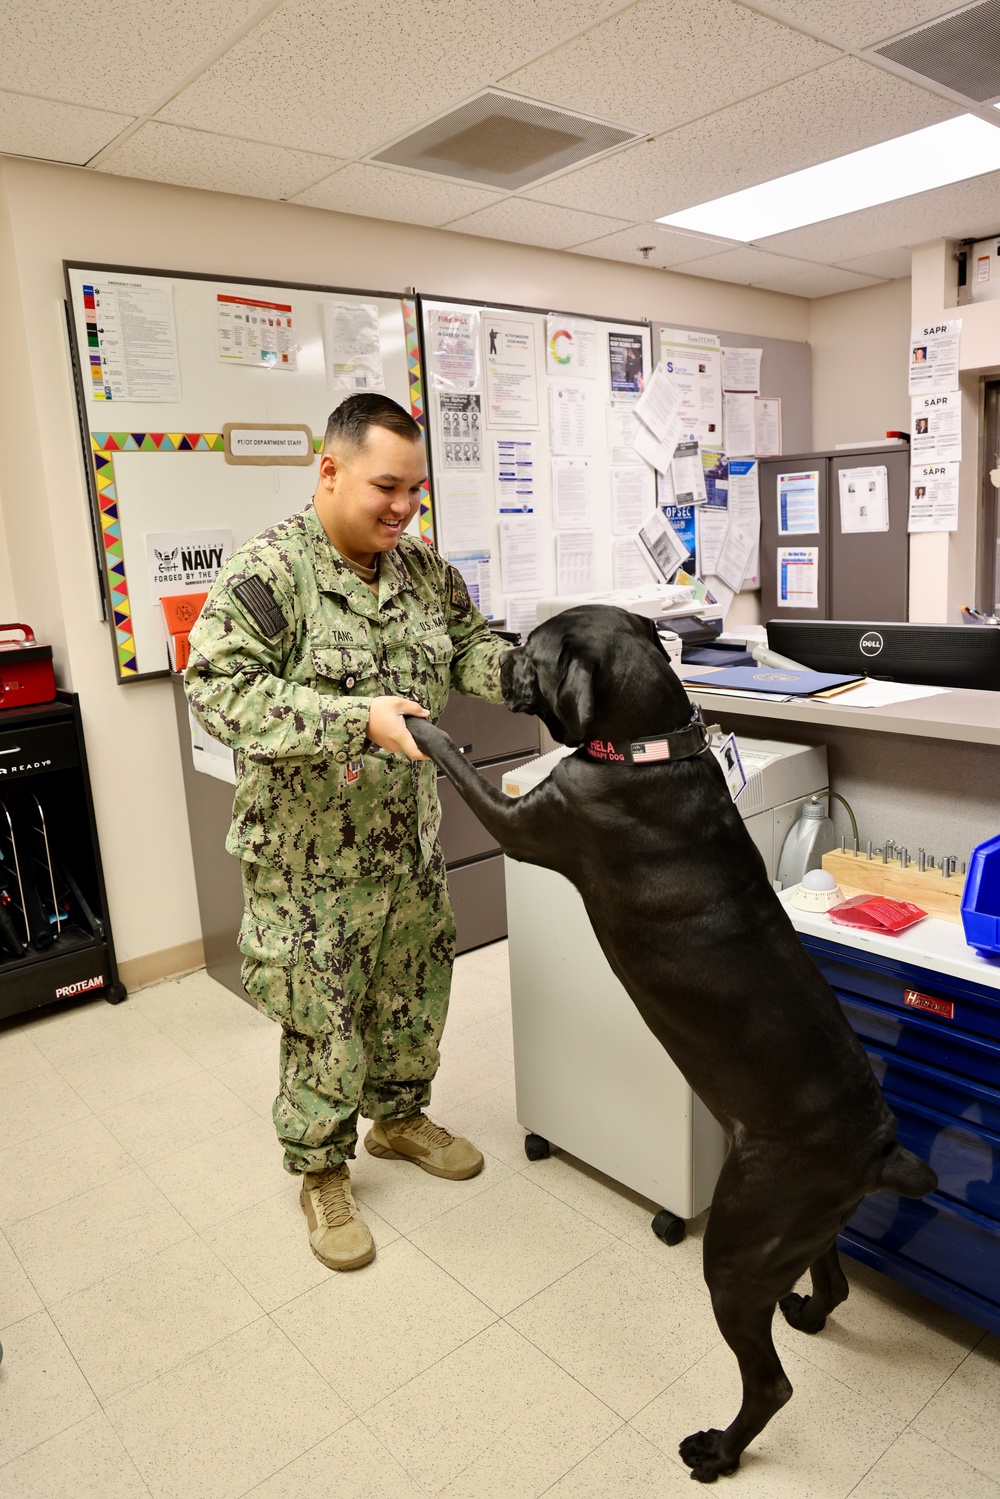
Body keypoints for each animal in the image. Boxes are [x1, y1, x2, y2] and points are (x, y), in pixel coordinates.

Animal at [407, 602, 941, 1481]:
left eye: (537, 650)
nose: (504, 647)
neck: (649, 747)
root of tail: (879, 1145)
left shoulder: (523, 822)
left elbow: (452, 756)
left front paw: (414, 718)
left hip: (736, 1248)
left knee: (771, 1383)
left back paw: (718, 1449)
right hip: (805, 1228)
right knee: (833, 1285)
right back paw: (808, 1310)